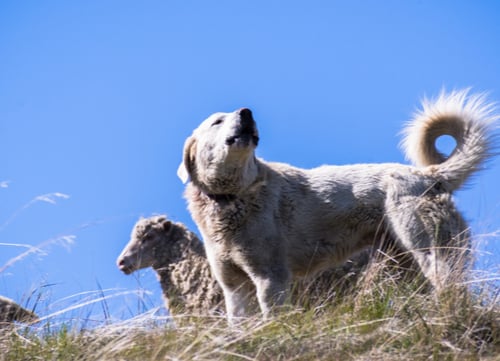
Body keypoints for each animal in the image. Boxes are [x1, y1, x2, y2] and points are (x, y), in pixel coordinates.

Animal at [178, 90, 498, 320]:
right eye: (217, 121)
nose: (246, 112)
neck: (234, 197)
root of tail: (429, 174)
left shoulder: (271, 279)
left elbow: (272, 319)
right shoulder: (234, 288)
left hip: (430, 250)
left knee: (450, 286)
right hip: (404, 263)